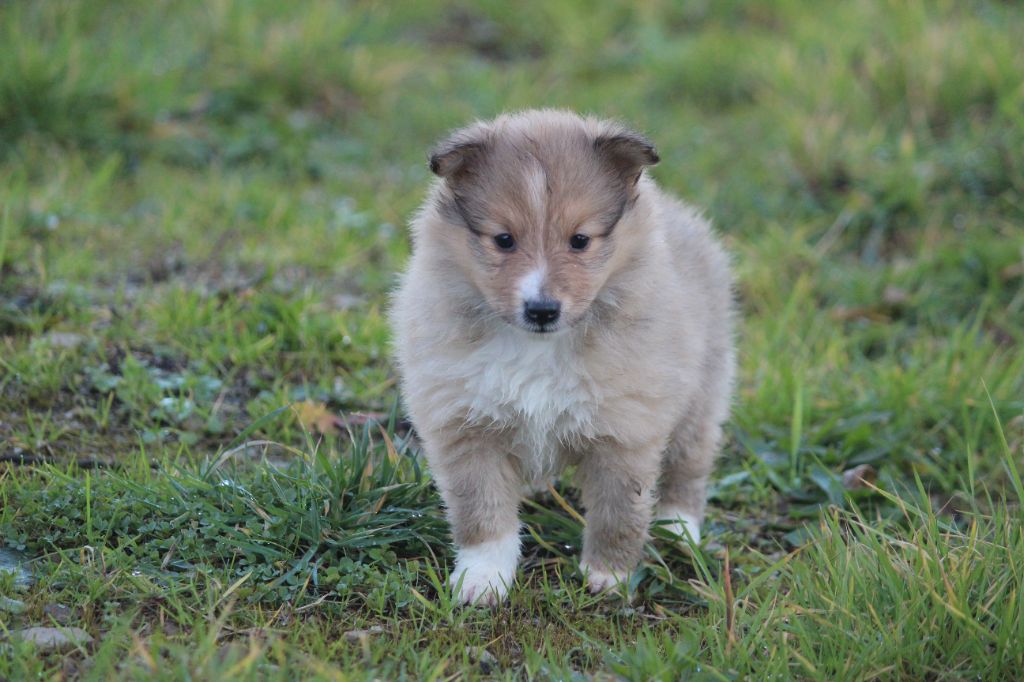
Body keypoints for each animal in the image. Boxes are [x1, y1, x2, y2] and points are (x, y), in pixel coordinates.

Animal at [391, 109, 737, 602]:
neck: (539, 347)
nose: (542, 309)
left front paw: (608, 576)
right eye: (503, 239)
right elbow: (482, 514)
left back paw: (678, 529)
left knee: (688, 464)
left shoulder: (625, 430)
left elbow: (619, 511)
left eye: (579, 240)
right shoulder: (465, 425)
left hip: (702, 394)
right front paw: (483, 579)